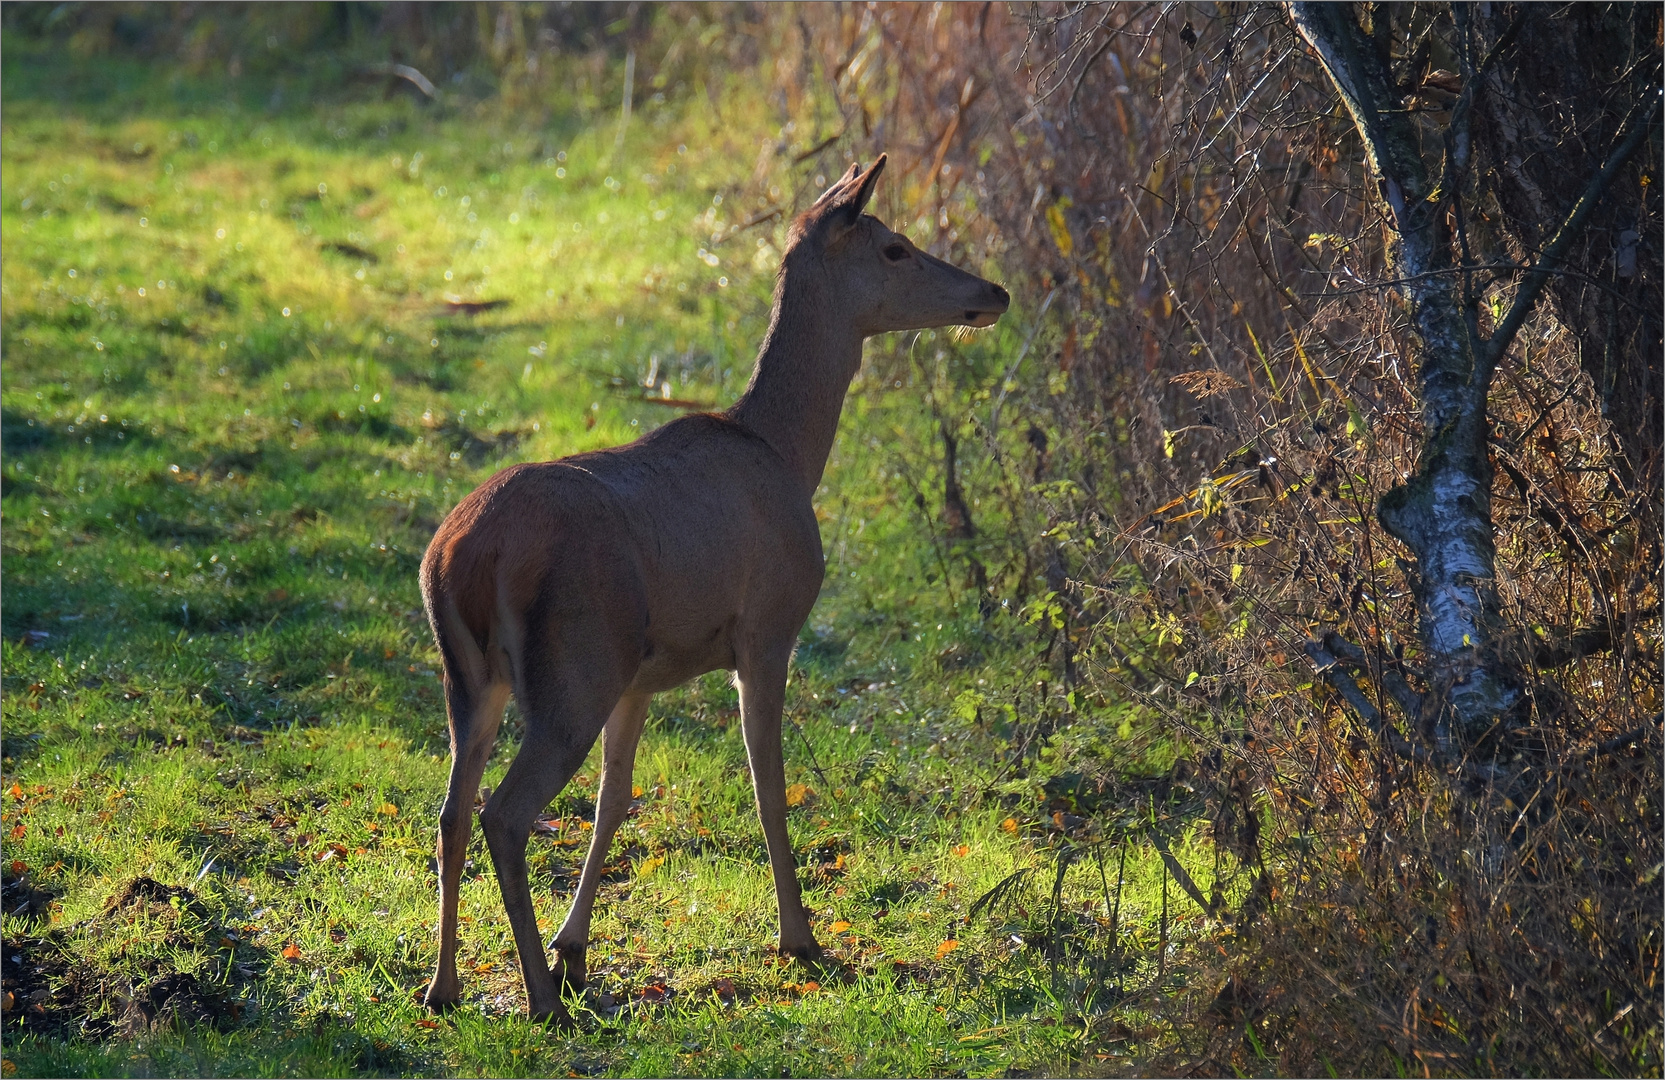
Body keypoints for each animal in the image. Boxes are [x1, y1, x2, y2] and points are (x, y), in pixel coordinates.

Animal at [422, 151, 1005, 1018]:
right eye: (894, 246)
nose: (993, 291)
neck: (786, 450)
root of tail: (462, 557)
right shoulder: (766, 628)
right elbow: (770, 787)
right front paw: (799, 938)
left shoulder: (640, 675)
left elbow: (614, 800)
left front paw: (575, 947)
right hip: (573, 664)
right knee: (504, 813)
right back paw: (539, 1001)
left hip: (475, 674)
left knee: (452, 811)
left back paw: (444, 985)